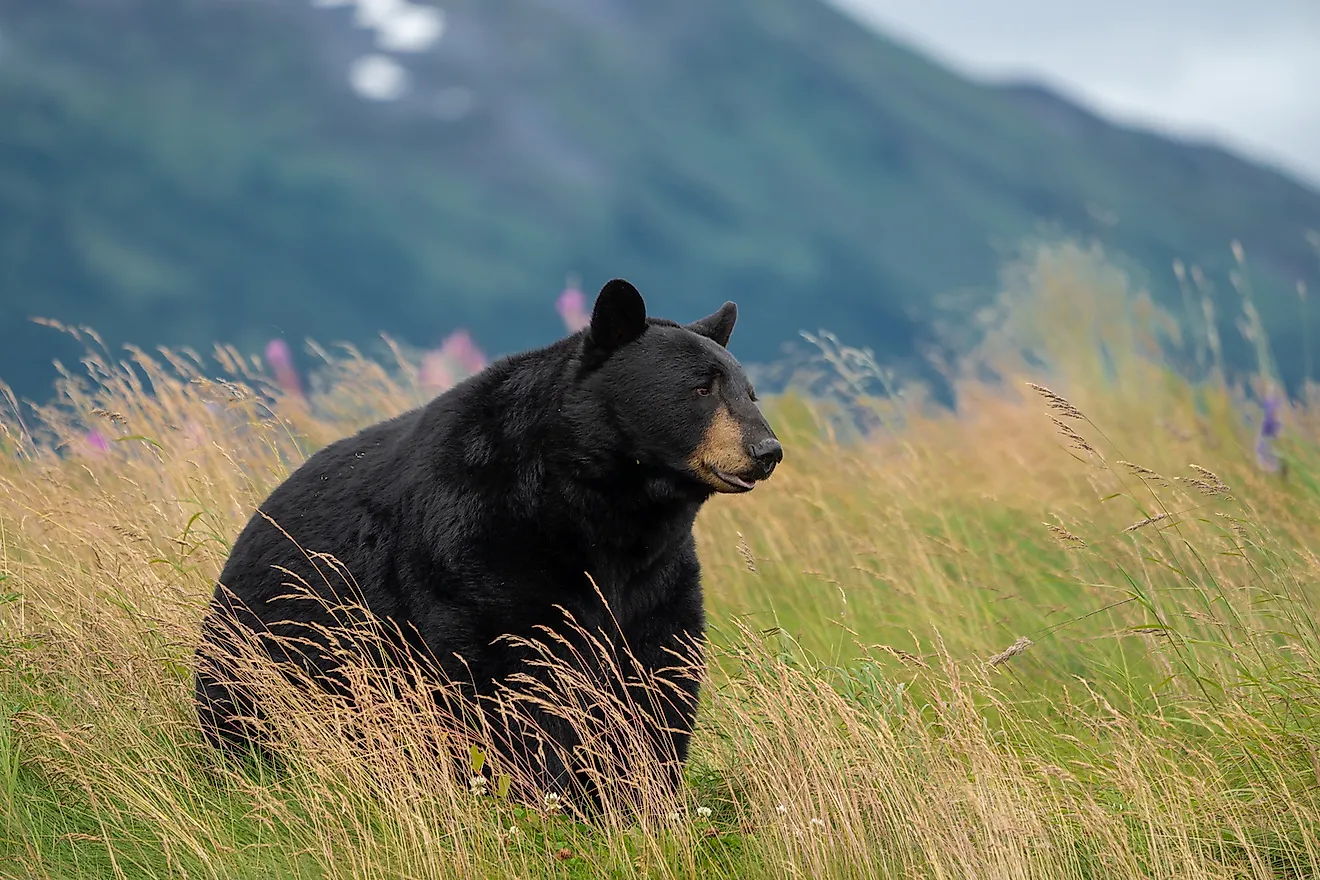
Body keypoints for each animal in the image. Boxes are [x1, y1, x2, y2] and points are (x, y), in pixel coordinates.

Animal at [191, 281, 776, 807]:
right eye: (700, 388)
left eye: (748, 393)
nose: (766, 449)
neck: (601, 509)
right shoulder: (480, 544)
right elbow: (512, 674)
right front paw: (547, 792)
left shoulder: (657, 572)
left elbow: (657, 673)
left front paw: (640, 794)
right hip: (269, 652)